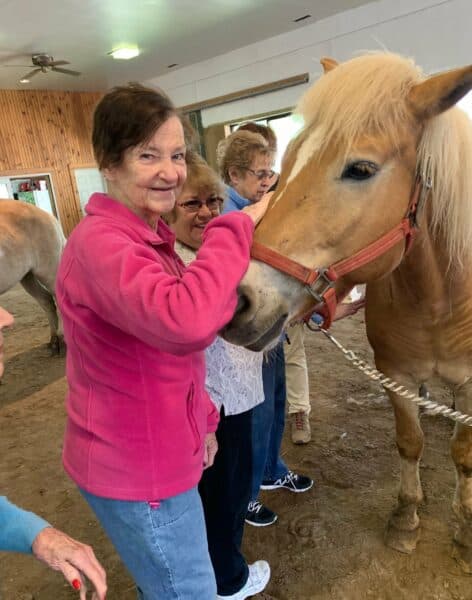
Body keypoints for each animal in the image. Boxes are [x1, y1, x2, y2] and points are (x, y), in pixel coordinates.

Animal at [0, 199, 65, 354]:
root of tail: (48, 216)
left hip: (48, 272)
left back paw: (61, 339)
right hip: (27, 276)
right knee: (46, 301)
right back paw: (54, 341)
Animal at [223, 52, 472, 572]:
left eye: (360, 168)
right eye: (284, 167)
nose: (240, 301)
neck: (440, 297)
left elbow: (464, 454)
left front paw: (464, 532)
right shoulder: (393, 371)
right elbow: (409, 441)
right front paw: (406, 520)